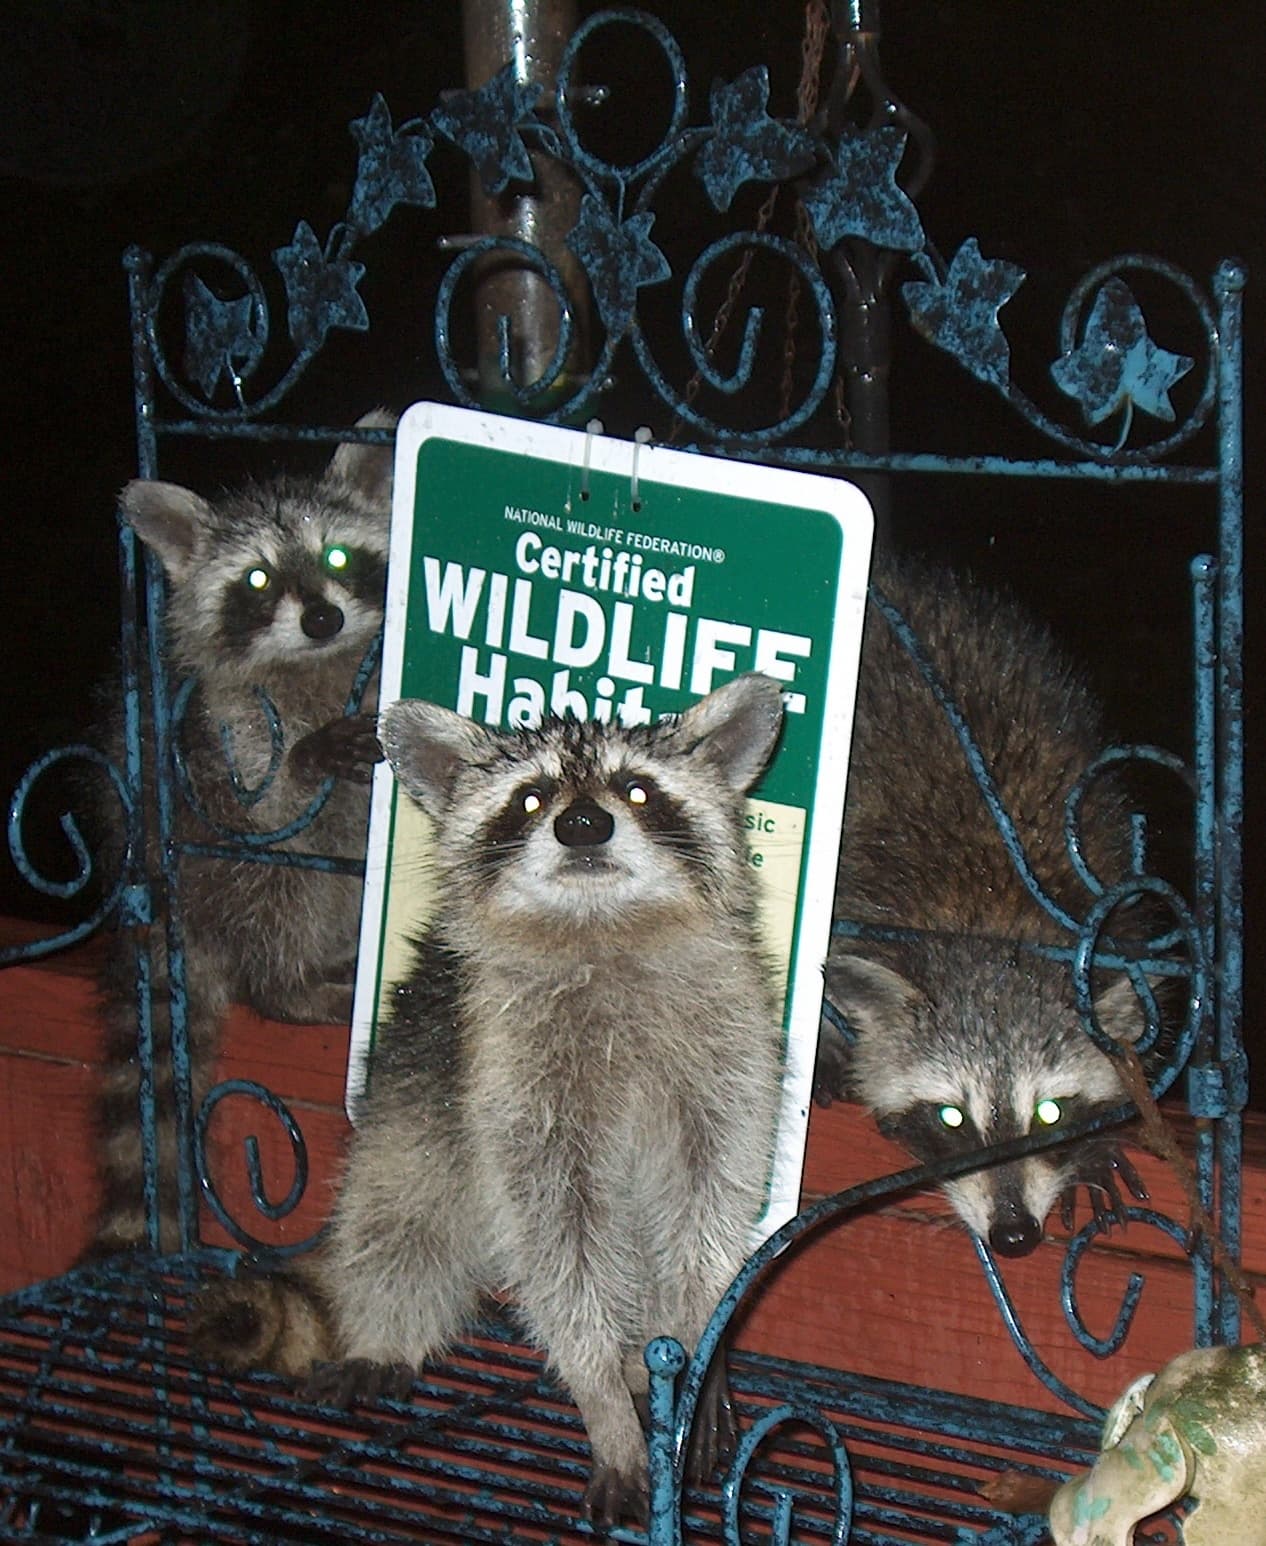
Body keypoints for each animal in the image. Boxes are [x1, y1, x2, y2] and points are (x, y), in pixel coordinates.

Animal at [92, 410, 396, 1256]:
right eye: (257, 580)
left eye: (336, 556)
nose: (322, 618)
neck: (318, 663)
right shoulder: (223, 726)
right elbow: (270, 806)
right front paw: (310, 758)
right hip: (212, 869)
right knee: (281, 884)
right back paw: (291, 987)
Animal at [192, 675, 786, 1525]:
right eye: (532, 799)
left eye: (638, 789)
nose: (582, 823)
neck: (600, 929)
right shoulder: (506, 1083)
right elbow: (558, 1255)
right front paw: (601, 1400)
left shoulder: (730, 1060)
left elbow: (710, 1215)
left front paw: (702, 1334)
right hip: (421, 1098)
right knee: (398, 1213)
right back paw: (388, 1332)